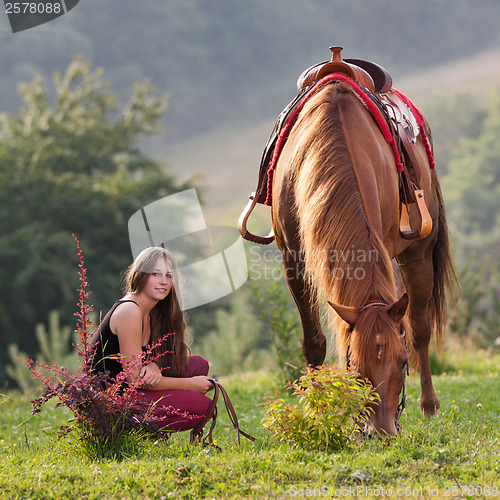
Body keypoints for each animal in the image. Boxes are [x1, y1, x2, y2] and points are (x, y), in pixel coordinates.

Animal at [272, 76, 456, 436]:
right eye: (353, 366)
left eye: (402, 363)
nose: (381, 432)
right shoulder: (293, 262)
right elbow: (313, 342)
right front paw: (317, 409)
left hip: (418, 254)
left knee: (420, 327)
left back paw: (429, 405)